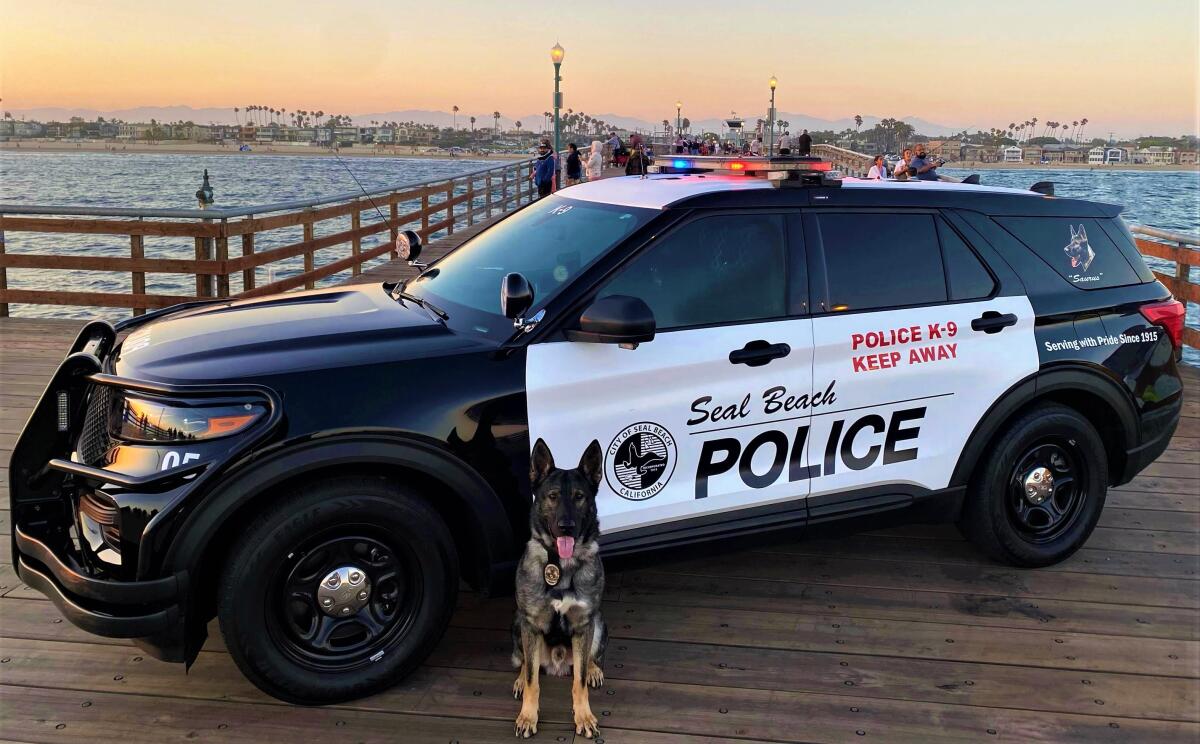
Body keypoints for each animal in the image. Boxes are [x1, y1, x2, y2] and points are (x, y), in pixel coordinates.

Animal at [513, 439, 609, 734]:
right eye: (553, 496)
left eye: (579, 496)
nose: (566, 527)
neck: (560, 565)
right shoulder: (530, 624)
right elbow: (532, 680)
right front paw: (528, 716)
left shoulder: (583, 624)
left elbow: (579, 681)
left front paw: (584, 716)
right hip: (517, 625)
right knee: (525, 663)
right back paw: (519, 679)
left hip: (598, 624)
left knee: (588, 659)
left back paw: (594, 669)